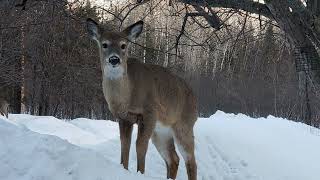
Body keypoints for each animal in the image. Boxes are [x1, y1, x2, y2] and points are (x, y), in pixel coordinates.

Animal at [87, 18, 198, 180]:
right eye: (104, 44)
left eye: (123, 45)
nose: (114, 59)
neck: (127, 97)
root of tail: (194, 98)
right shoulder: (124, 118)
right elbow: (125, 145)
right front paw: (124, 169)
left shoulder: (149, 112)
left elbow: (140, 145)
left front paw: (140, 172)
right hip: (161, 131)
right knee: (173, 158)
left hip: (184, 125)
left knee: (191, 161)